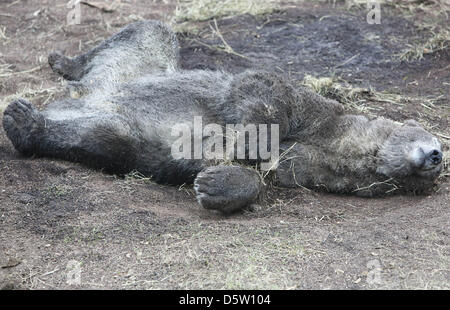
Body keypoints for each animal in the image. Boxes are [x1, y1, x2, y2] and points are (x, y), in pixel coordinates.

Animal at [1, 20, 444, 214]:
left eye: (411, 185)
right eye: (434, 139)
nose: (436, 158)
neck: (336, 145)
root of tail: (86, 94)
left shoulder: (303, 168)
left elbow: (254, 175)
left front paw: (217, 185)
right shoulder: (314, 111)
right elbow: (263, 92)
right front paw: (250, 140)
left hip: (117, 118)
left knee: (107, 138)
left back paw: (28, 122)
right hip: (136, 65)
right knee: (150, 32)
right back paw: (63, 63)